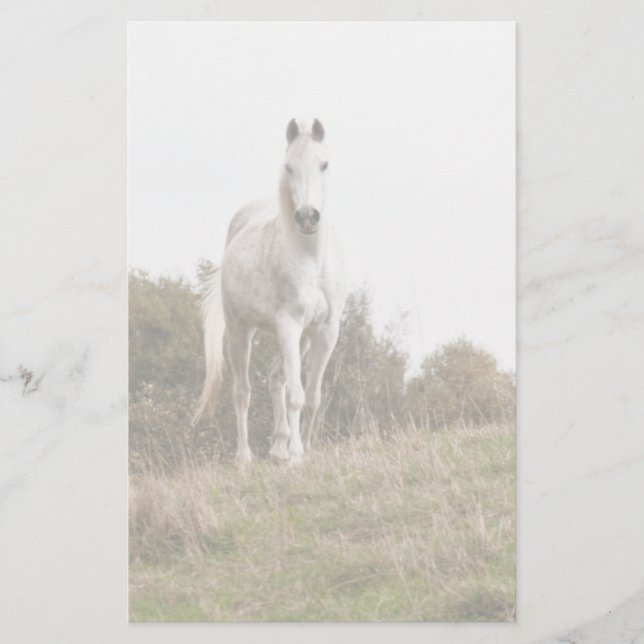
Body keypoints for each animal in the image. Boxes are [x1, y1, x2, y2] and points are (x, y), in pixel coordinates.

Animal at [193, 118, 347, 464]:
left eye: (324, 164)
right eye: (289, 167)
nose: (307, 217)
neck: (310, 260)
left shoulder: (325, 331)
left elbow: (313, 397)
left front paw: (307, 449)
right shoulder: (289, 324)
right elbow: (296, 396)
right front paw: (297, 456)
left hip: (298, 339)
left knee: (275, 377)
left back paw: (278, 447)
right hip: (241, 331)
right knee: (242, 391)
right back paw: (245, 458)